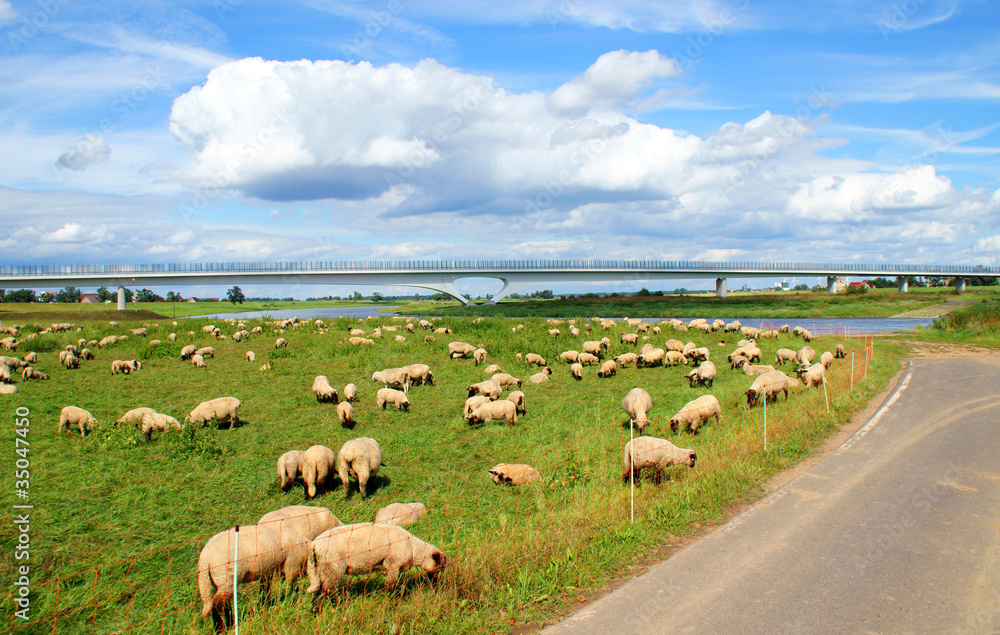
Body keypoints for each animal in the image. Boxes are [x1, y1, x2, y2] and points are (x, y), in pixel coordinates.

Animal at [306, 523, 446, 601]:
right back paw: (339, 605)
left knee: (320, 589)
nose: (437, 584)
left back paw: (316, 611)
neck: (413, 548)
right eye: (440, 567)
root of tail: (315, 544)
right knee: (329, 589)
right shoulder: (392, 564)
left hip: (323, 566)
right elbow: (392, 584)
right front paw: (393, 601)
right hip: (334, 566)